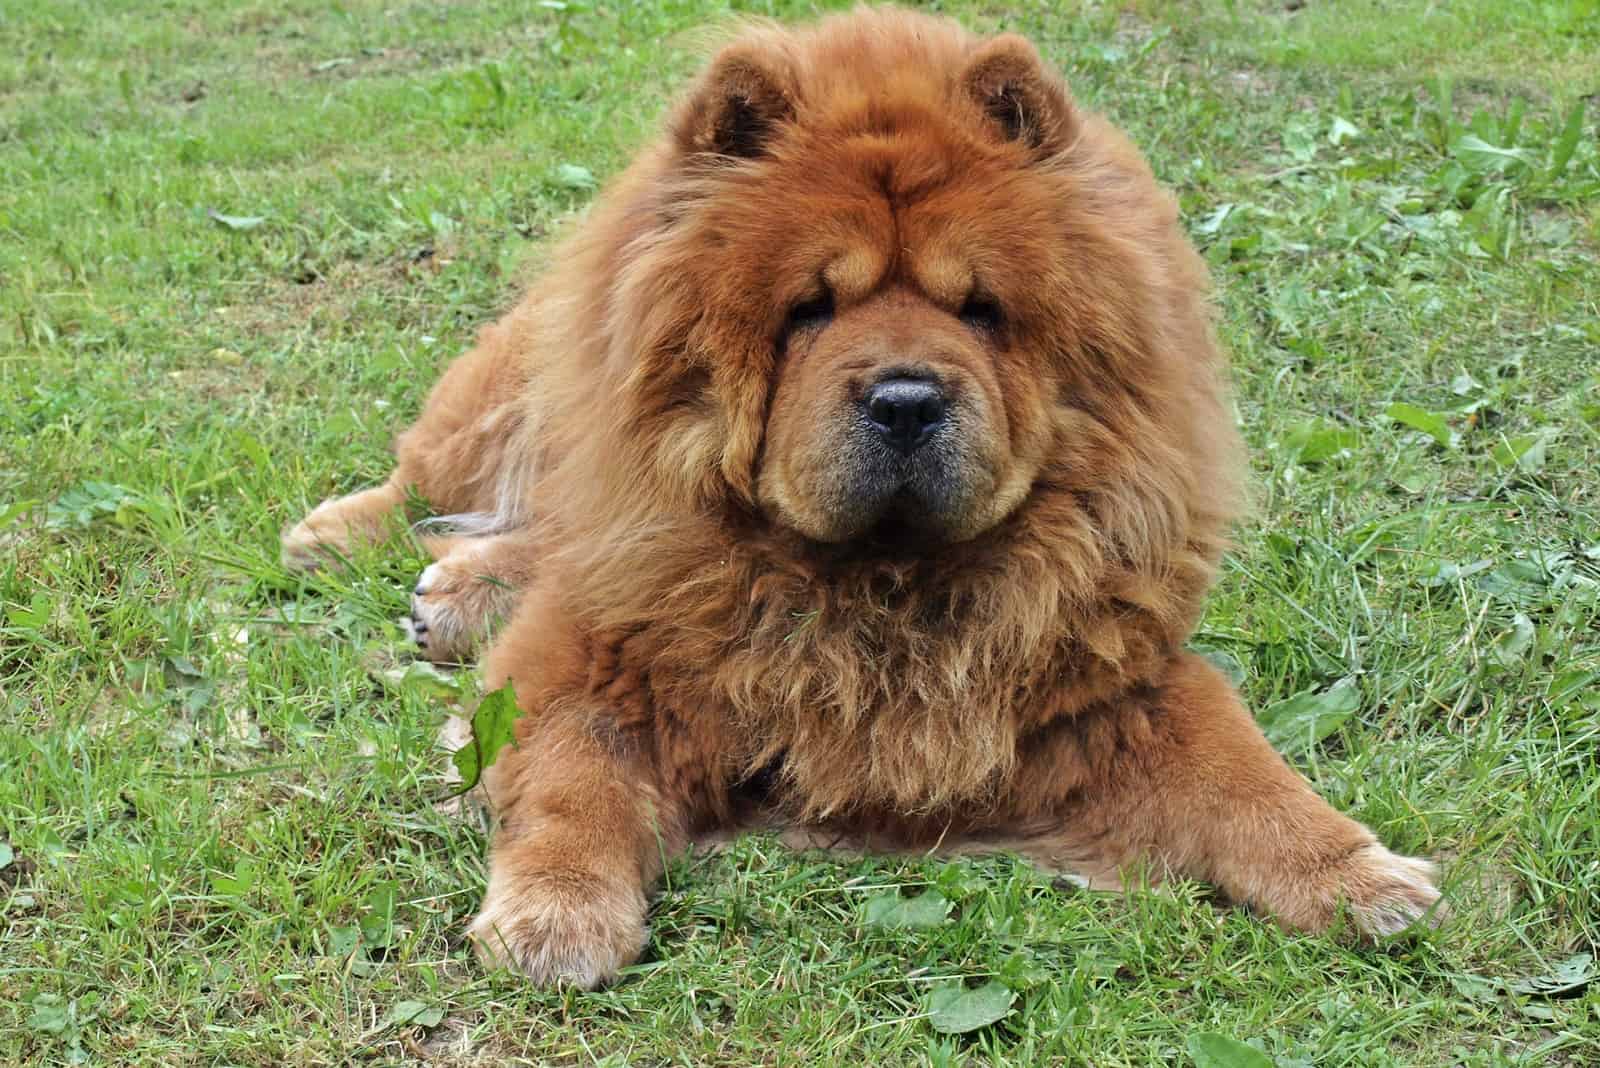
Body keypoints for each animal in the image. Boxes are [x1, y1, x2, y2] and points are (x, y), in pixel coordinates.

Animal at [281, 6, 1446, 984]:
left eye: (979, 310)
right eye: (808, 309)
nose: (905, 399)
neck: (876, 584)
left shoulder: (1108, 687)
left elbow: (1243, 769)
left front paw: (1361, 877)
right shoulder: (594, 656)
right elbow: (570, 780)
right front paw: (555, 918)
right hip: (507, 397)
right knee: (432, 481)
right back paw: (340, 541)